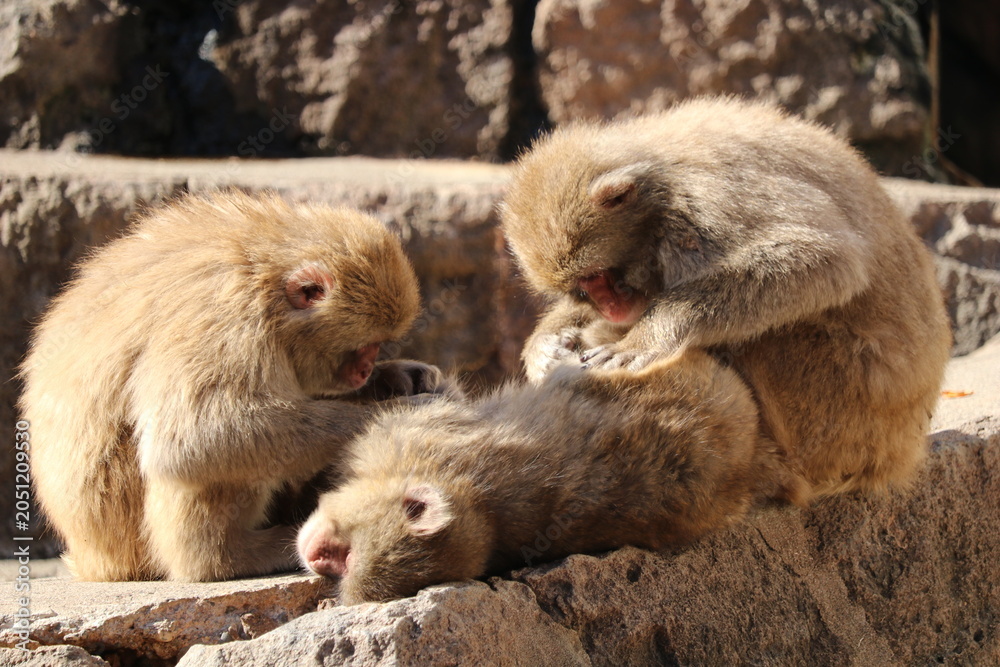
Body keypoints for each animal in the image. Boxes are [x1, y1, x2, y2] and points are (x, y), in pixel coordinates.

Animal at [19, 190, 450, 582]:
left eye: (376, 347)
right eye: (362, 346)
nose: (365, 370)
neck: (262, 273)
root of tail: (93, 558)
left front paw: (399, 377)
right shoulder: (225, 315)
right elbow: (194, 439)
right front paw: (401, 411)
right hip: (127, 534)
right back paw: (224, 558)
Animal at [500, 96, 952, 500]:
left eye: (598, 275)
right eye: (581, 289)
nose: (610, 306)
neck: (656, 184)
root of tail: (900, 452)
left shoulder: (705, 201)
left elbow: (823, 262)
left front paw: (643, 340)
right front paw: (546, 344)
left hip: (836, 411)